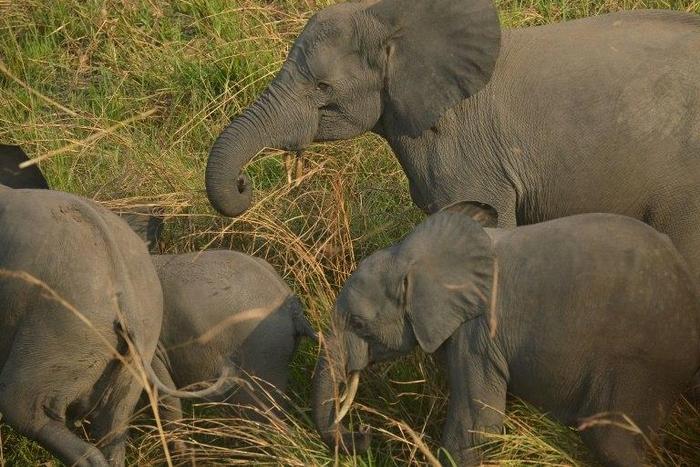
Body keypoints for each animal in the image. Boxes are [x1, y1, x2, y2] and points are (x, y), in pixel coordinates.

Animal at [311, 202, 700, 466]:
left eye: (359, 324)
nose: (364, 434)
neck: (412, 252)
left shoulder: (479, 334)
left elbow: (476, 425)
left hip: (641, 363)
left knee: (611, 442)